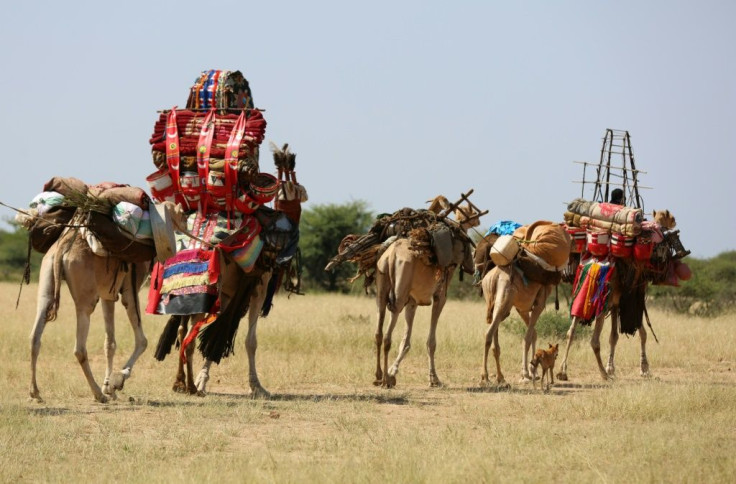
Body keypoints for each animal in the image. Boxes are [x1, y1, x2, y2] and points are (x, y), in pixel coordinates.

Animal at [29, 229, 150, 402]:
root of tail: (63, 246)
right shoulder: (130, 288)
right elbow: (142, 341)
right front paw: (119, 379)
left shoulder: (108, 294)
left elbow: (110, 343)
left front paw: (109, 388)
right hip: (86, 296)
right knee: (79, 348)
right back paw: (98, 394)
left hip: (47, 278)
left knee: (35, 336)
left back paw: (35, 393)